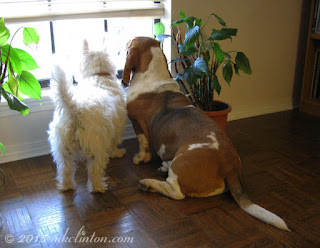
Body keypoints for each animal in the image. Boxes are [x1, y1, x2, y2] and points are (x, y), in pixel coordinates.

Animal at [48, 39, 127, 193]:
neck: (99, 75)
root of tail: (75, 109)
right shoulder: (116, 128)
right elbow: (114, 143)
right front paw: (117, 152)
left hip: (62, 147)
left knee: (65, 168)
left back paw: (66, 186)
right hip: (97, 146)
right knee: (95, 169)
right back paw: (99, 187)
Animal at [122, 36, 290, 231]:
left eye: (129, 44)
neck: (153, 73)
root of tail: (230, 167)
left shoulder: (136, 123)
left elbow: (142, 143)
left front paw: (140, 158)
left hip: (181, 161)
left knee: (176, 192)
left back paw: (148, 183)